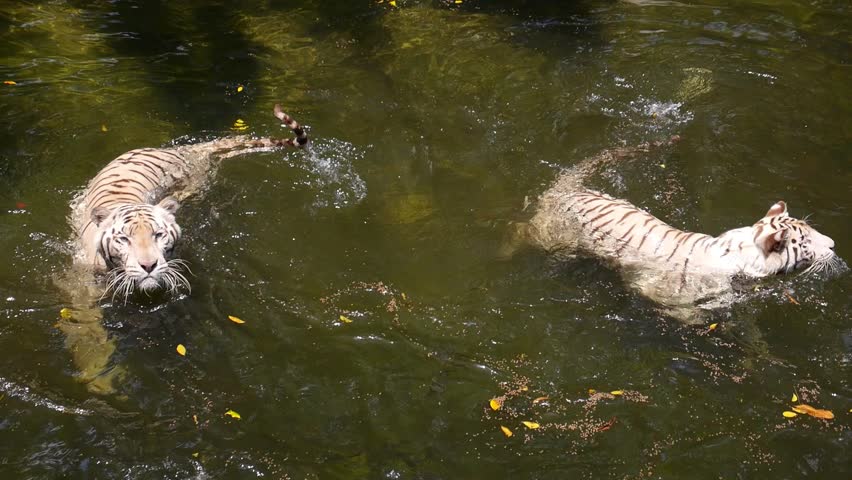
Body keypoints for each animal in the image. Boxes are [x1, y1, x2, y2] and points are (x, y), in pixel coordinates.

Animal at [58, 104, 308, 394]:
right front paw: (98, 377)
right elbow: (88, 334)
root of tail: (177, 150)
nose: (148, 266)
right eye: (124, 239)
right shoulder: (80, 292)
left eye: (158, 235)